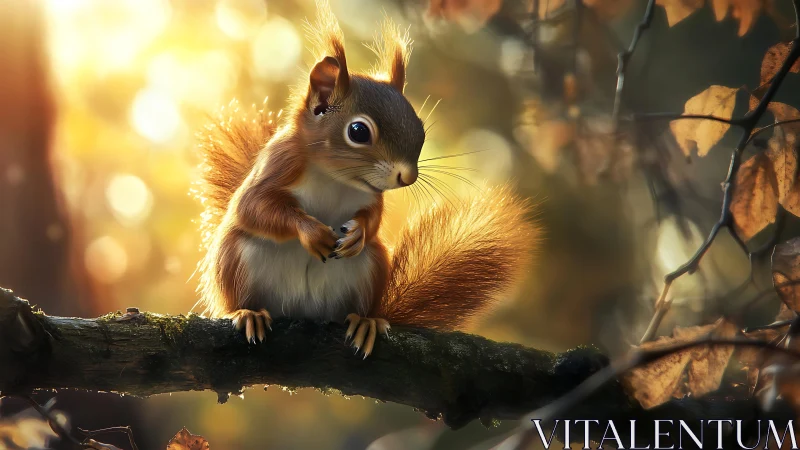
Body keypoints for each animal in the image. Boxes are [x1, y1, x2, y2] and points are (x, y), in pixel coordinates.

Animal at [194, 0, 539, 357]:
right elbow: (253, 207)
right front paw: (311, 231)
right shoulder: (280, 165)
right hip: (235, 258)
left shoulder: (372, 196)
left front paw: (358, 232)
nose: (407, 176)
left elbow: (373, 219)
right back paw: (247, 312)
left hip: (371, 266)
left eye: (420, 130)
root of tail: (303, 310)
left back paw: (365, 321)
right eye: (358, 131)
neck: (337, 179)